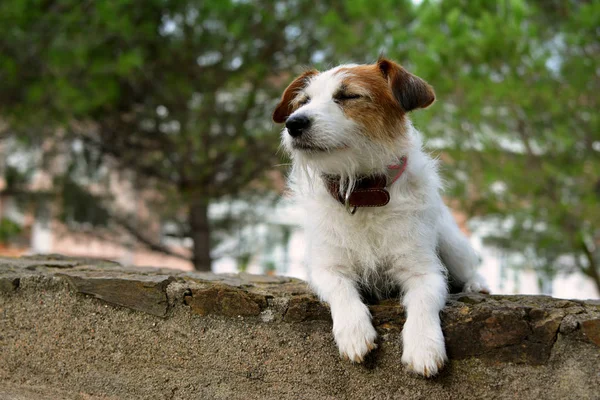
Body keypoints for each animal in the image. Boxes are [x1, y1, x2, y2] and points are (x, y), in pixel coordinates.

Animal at [274, 57, 490, 376]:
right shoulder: (327, 268)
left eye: (349, 96)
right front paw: (354, 331)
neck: (362, 194)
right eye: (304, 101)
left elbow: (424, 301)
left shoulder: (424, 271)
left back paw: (476, 285)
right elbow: (342, 290)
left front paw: (424, 345)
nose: (293, 123)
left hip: (453, 245)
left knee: (470, 267)